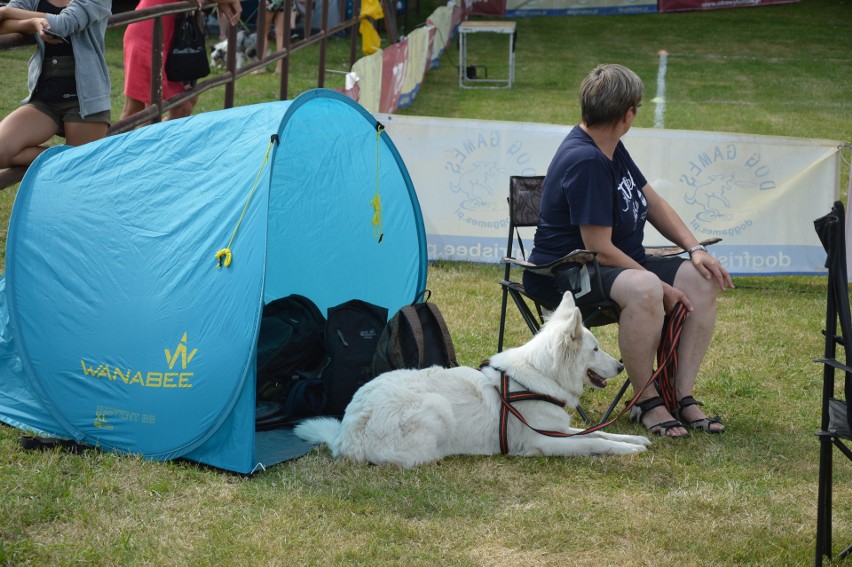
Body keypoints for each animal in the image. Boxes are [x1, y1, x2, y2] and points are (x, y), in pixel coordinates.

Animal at [294, 290, 652, 468]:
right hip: (435, 408)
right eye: (595, 349)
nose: (620, 368)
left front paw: (635, 440)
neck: (539, 377)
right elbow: (594, 441)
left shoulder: (559, 429)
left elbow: (598, 432)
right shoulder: (545, 440)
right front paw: (629, 451)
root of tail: (344, 437)